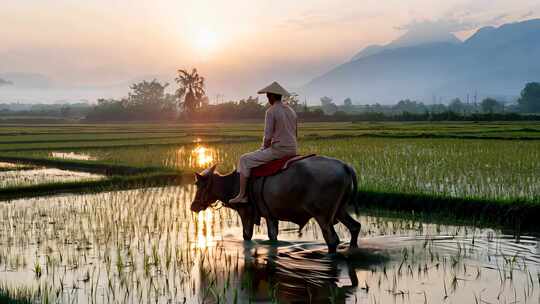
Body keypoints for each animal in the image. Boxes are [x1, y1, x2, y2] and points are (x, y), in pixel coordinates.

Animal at [192, 156, 360, 253]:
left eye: (198, 185)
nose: (193, 206)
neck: (233, 184)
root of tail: (345, 166)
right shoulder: (271, 216)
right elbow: (273, 236)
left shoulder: (246, 212)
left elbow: (247, 235)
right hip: (340, 210)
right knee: (355, 227)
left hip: (322, 216)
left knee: (332, 239)